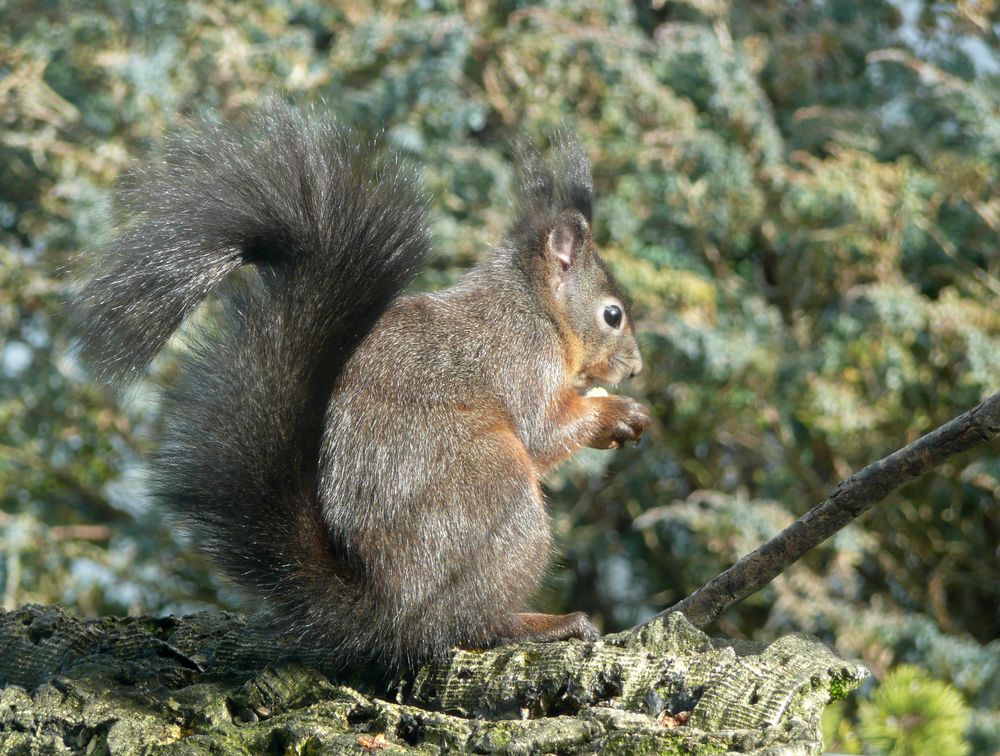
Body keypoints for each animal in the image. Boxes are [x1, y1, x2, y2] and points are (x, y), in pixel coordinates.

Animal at [82, 105, 652, 668]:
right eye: (613, 314)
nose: (636, 368)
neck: (536, 308)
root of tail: (387, 609)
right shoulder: (520, 360)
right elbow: (542, 431)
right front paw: (617, 413)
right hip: (497, 497)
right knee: (465, 625)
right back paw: (543, 624)